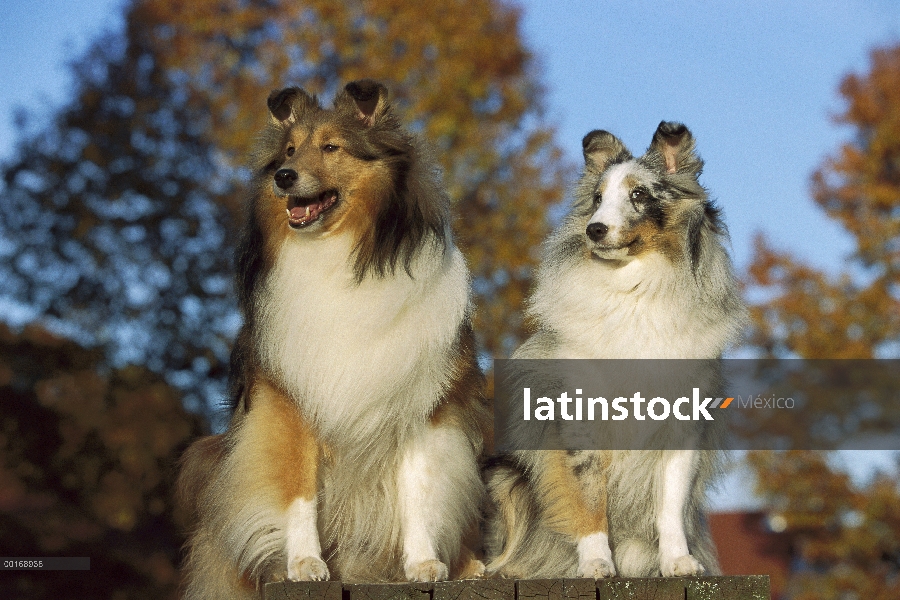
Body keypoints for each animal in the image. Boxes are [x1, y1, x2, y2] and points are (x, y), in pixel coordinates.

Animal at [175, 81, 486, 600]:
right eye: (289, 151)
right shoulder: (289, 403)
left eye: (331, 148)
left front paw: (424, 563)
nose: (284, 177)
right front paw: (304, 564)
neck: (339, 258)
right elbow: (298, 490)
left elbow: (419, 490)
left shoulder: (420, 404)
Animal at [486, 120, 744, 576]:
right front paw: (596, 563)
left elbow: (670, 505)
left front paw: (678, 561)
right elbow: (589, 501)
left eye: (639, 194)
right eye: (597, 199)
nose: (595, 230)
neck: (635, 292)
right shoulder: (580, 422)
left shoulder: (681, 429)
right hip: (504, 479)